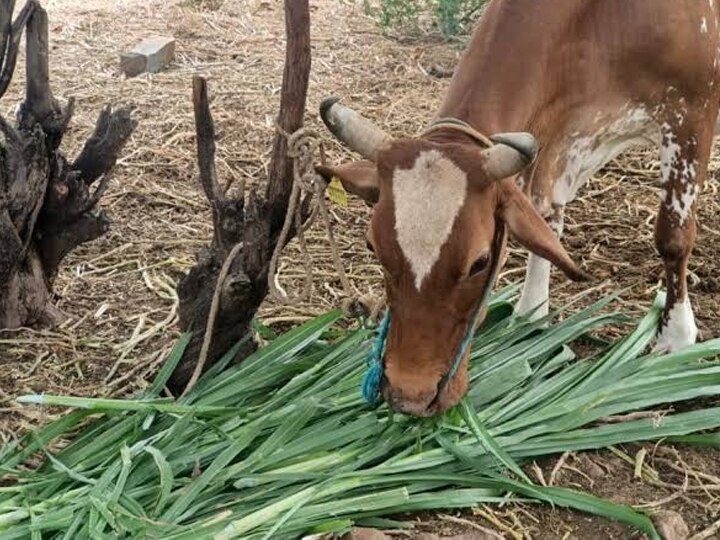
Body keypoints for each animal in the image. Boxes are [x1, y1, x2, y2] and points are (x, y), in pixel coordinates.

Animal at [320, 0, 720, 416]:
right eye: (374, 247)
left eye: (479, 262)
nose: (409, 396)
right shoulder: (556, 133)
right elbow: (544, 221)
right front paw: (531, 314)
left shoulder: (692, 113)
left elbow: (673, 237)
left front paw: (677, 335)